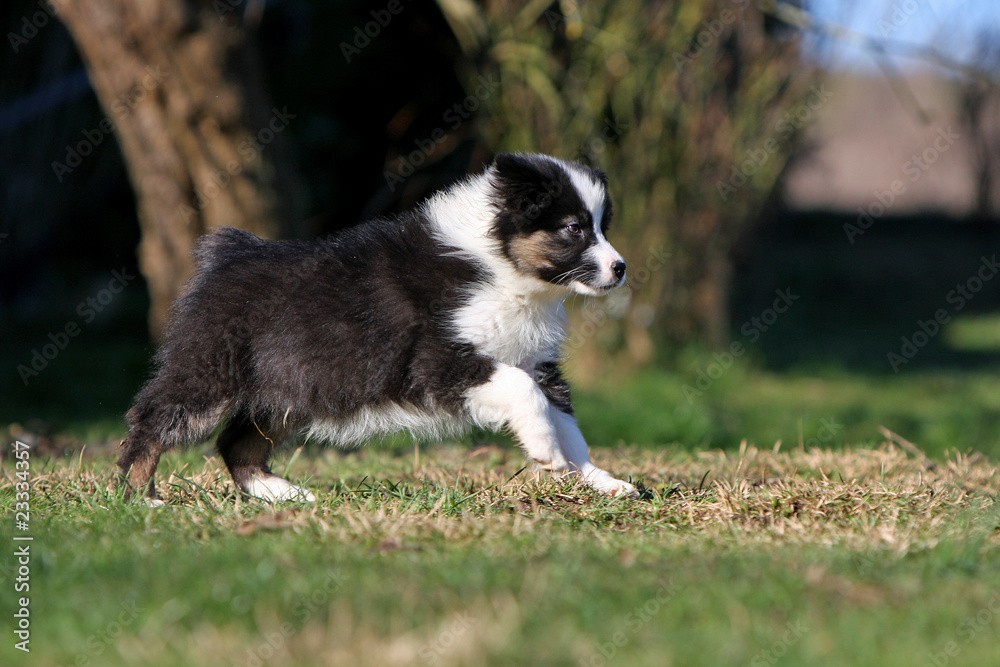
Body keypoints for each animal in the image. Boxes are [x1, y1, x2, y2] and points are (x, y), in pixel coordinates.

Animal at [121, 154, 636, 504]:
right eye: (573, 229)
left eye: (602, 226)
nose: (621, 268)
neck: (502, 268)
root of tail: (229, 254)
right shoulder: (439, 360)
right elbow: (521, 391)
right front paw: (547, 455)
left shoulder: (537, 362)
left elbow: (568, 425)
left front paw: (602, 482)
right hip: (211, 370)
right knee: (152, 418)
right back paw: (139, 497)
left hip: (286, 388)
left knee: (236, 443)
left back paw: (284, 494)